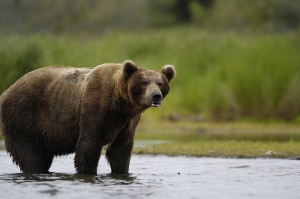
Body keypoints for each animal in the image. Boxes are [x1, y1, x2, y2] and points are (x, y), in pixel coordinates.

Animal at [0, 60, 176, 174]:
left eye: (160, 82)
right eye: (144, 82)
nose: (156, 96)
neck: (120, 104)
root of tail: (6, 91)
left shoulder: (128, 121)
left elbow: (120, 150)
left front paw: (122, 171)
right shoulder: (94, 106)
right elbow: (88, 145)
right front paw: (88, 172)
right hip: (23, 115)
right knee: (30, 154)